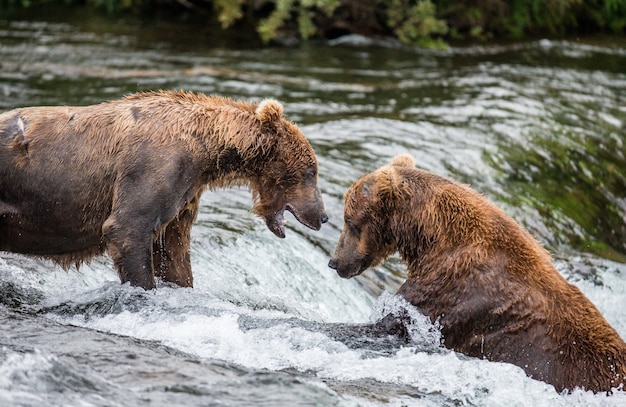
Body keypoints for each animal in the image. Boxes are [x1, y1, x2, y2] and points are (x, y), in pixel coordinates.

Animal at [0, 91, 330, 290]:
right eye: (311, 171)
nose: (323, 216)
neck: (207, 149)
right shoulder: (156, 166)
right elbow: (128, 228)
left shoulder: (185, 192)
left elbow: (173, 251)